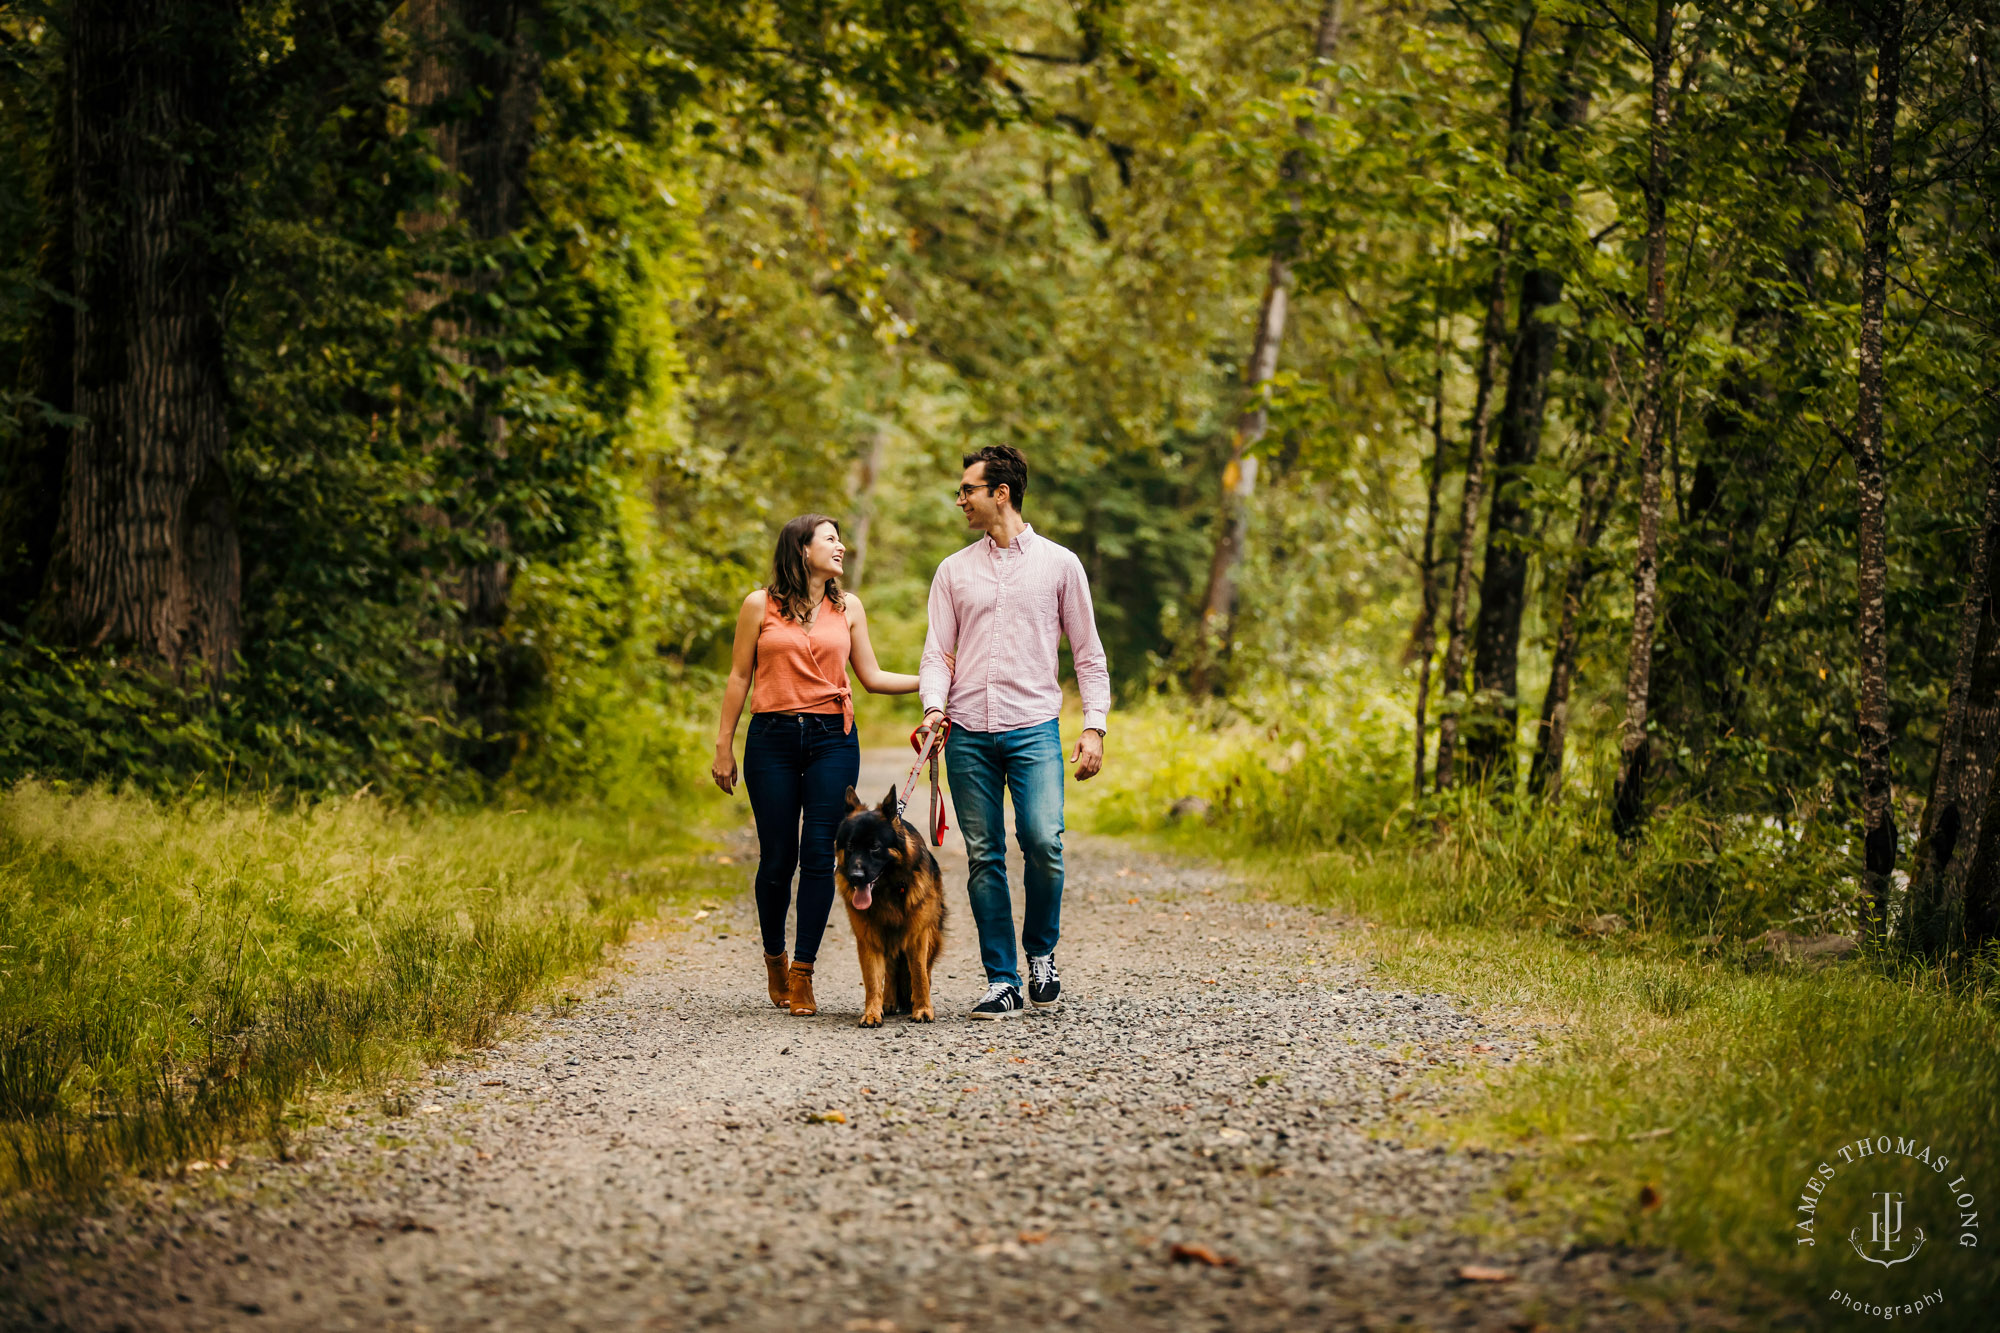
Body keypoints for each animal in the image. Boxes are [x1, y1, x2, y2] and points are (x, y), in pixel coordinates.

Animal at [832, 784, 948, 1020]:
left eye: (875, 847)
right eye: (850, 846)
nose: (855, 877)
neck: (887, 891)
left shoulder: (918, 934)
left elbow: (919, 973)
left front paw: (923, 1008)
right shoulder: (869, 938)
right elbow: (872, 979)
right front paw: (872, 1012)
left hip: (930, 935)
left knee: (923, 969)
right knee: (891, 969)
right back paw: (888, 1002)